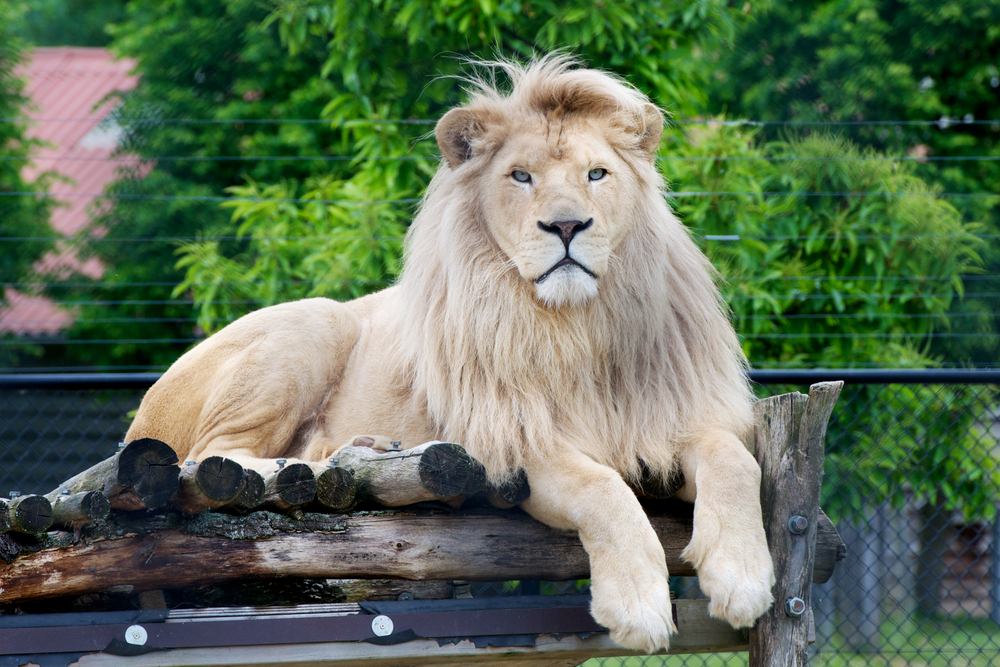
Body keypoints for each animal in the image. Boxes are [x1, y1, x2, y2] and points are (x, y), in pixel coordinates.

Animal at [126, 55, 775, 653]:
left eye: (597, 174)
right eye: (520, 176)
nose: (567, 226)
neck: (574, 328)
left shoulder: (673, 417)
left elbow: (735, 462)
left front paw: (743, 578)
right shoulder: (516, 445)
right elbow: (605, 491)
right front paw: (638, 607)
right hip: (315, 321)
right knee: (213, 458)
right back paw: (307, 463)